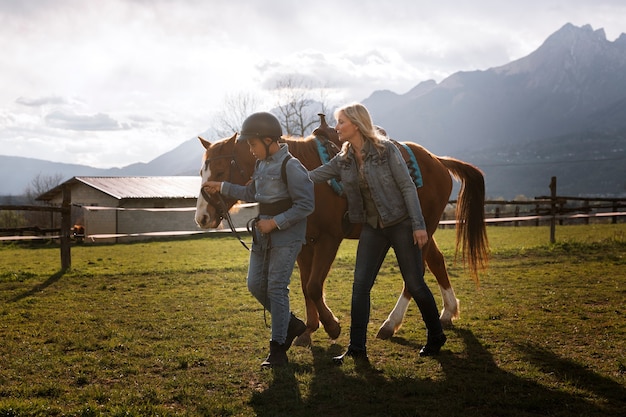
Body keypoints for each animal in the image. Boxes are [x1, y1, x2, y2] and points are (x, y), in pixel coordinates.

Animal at [195, 121, 488, 348]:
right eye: (202, 171)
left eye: (219, 171)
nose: (202, 218)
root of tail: (438, 161)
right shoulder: (304, 244)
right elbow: (306, 286)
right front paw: (308, 330)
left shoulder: (329, 239)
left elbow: (314, 286)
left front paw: (332, 326)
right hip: (421, 230)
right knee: (436, 261)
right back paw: (448, 312)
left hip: (420, 229)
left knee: (414, 276)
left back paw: (391, 324)